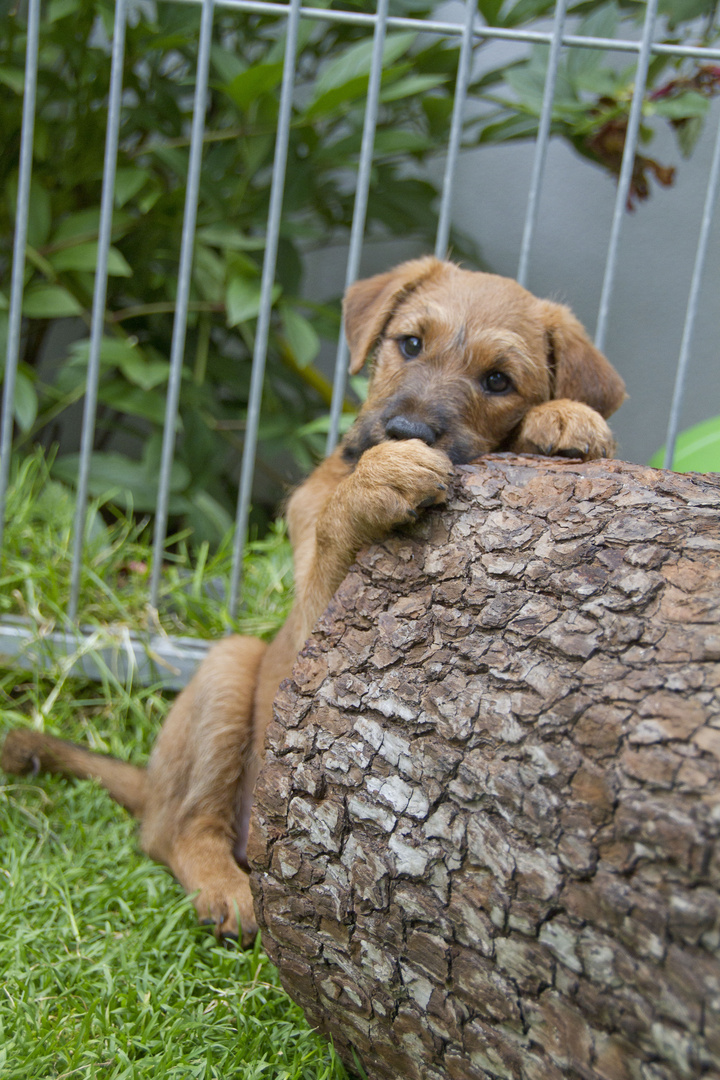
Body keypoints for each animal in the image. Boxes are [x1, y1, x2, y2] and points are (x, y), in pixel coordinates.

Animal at [0, 259, 626, 946]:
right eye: (410, 343)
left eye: (498, 380)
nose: (406, 431)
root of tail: (148, 782)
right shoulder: (317, 618)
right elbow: (334, 522)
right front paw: (381, 474)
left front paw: (563, 417)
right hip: (228, 670)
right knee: (175, 830)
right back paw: (225, 890)